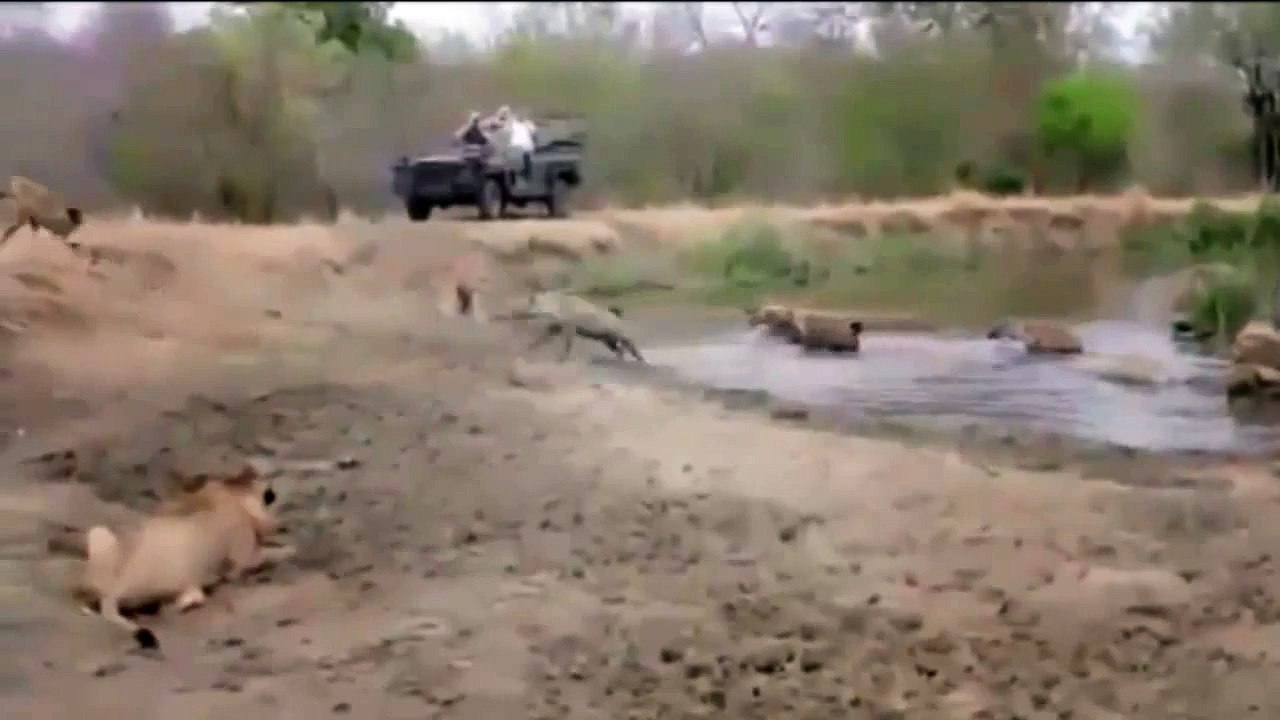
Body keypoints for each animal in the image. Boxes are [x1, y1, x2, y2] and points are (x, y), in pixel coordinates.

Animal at [69, 466, 286, 651]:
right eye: (269, 493)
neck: (232, 492)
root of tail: (115, 589)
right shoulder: (244, 556)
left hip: (98, 535)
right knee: (193, 597)